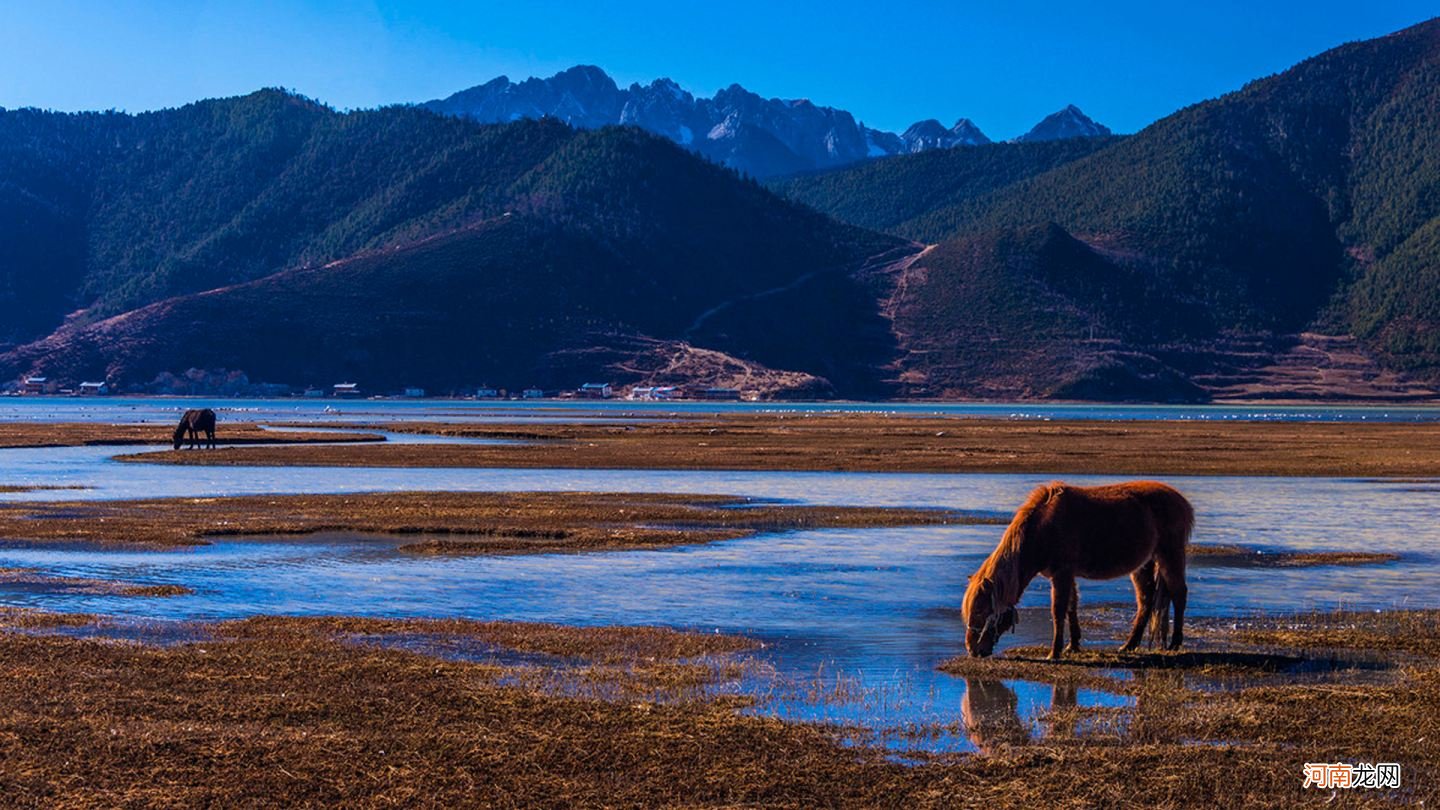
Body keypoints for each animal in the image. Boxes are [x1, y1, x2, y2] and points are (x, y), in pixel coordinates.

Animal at [961, 478, 1198, 657]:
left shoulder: (1062, 573)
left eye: (981, 610)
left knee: (1179, 594)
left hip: (1170, 555)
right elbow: (1071, 606)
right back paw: (1129, 645)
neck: (1041, 530)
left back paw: (1175, 643)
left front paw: (1054, 652)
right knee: (1146, 601)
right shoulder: (1067, 575)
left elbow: (1058, 610)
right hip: (1144, 565)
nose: (973, 650)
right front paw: (1073, 645)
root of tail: (1181, 501)